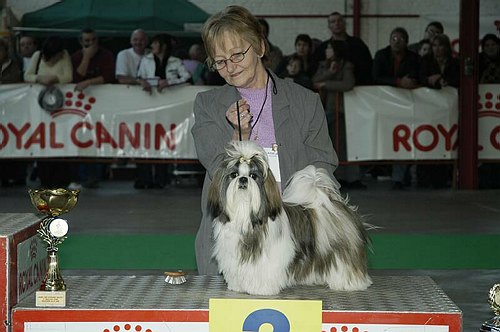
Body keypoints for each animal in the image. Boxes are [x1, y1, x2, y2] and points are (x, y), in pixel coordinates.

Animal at [207, 141, 372, 296]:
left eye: (253, 176)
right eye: (234, 175)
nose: (243, 179)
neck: (245, 212)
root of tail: (331, 202)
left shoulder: (270, 257)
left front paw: (262, 289)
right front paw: (238, 286)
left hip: (341, 251)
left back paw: (350, 283)